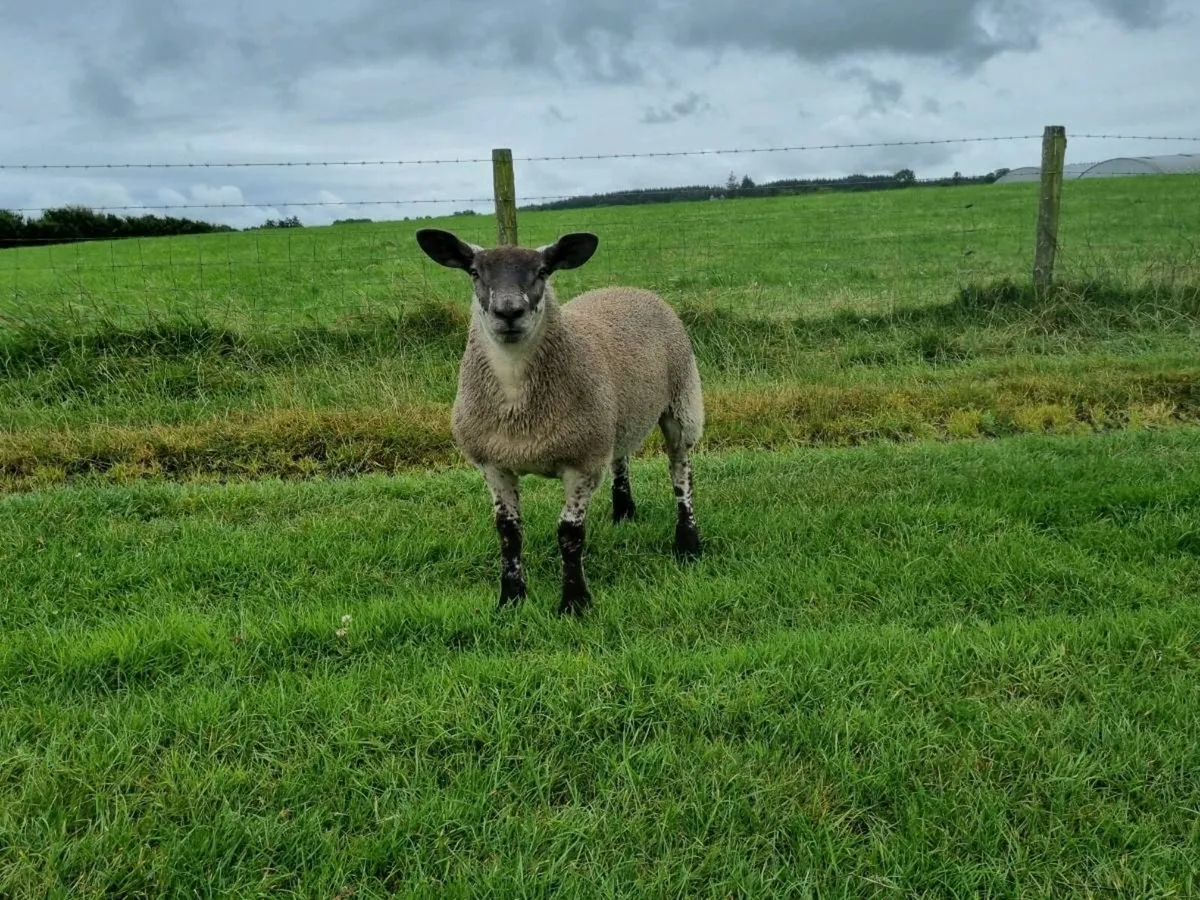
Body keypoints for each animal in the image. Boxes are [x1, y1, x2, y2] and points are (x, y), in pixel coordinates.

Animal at [414, 227, 704, 616]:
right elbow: (508, 532)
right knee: (621, 457)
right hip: (613, 418)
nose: (509, 312)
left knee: (680, 472)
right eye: (474, 272)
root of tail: (631, 288)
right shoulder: (493, 464)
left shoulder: (582, 463)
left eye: (542, 272)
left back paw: (688, 542)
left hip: (682, 402)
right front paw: (511, 599)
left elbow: (569, 535)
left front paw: (574, 602)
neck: (518, 406)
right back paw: (623, 512)